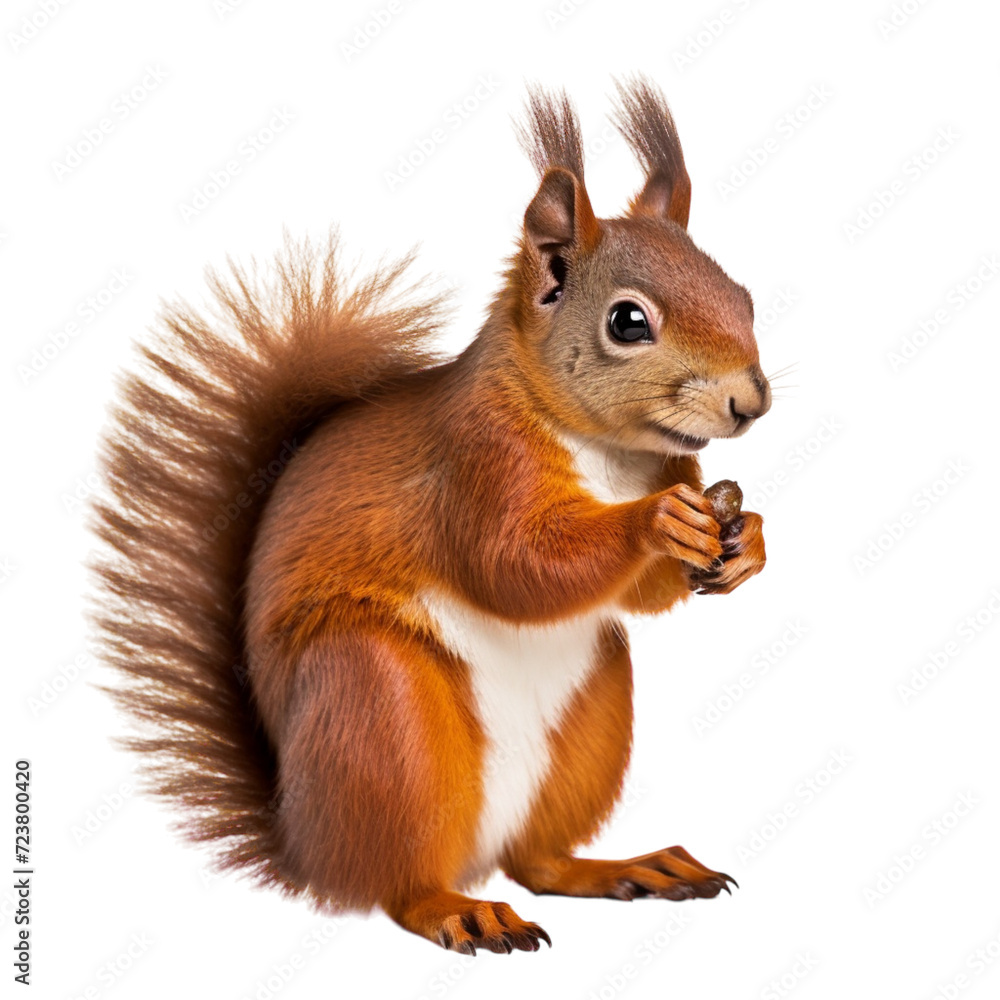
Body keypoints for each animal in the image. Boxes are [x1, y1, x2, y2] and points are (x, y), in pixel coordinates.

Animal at [91, 77, 771, 955]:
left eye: (742, 295)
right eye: (628, 321)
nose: (751, 403)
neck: (609, 454)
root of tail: (304, 843)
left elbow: (641, 595)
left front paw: (746, 540)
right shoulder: (472, 465)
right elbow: (514, 565)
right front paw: (655, 521)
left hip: (591, 715)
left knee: (537, 861)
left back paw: (627, 868)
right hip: (379, 704)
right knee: (400, 885)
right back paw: (458, 909)